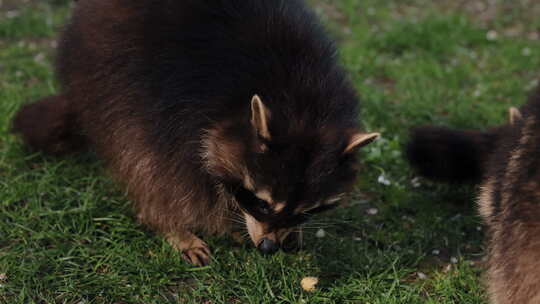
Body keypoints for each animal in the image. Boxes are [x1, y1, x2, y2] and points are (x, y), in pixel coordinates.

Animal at [12, 0, 378, 264]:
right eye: (260, 202)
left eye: (306, 210)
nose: (269, 247)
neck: (301, 99)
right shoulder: (178, 109)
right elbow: (170, 173)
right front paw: (185, 222)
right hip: (109, 75)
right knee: (137, 152)